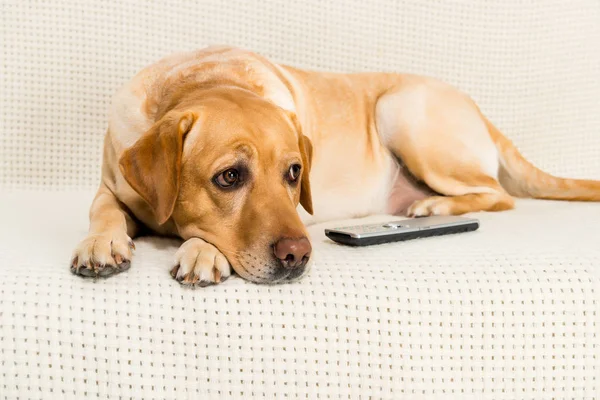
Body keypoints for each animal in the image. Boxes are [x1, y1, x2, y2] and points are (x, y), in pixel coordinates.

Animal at [70, 45, 600, 286]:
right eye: (229, 177)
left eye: (294, 173)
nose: (297, 255)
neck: (202, 81)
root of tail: (478, 110)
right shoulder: (110, 186)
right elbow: (103, 211)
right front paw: (101, 242)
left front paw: (201, 250)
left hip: (402, 110)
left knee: (499, 194)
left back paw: (434, 206)